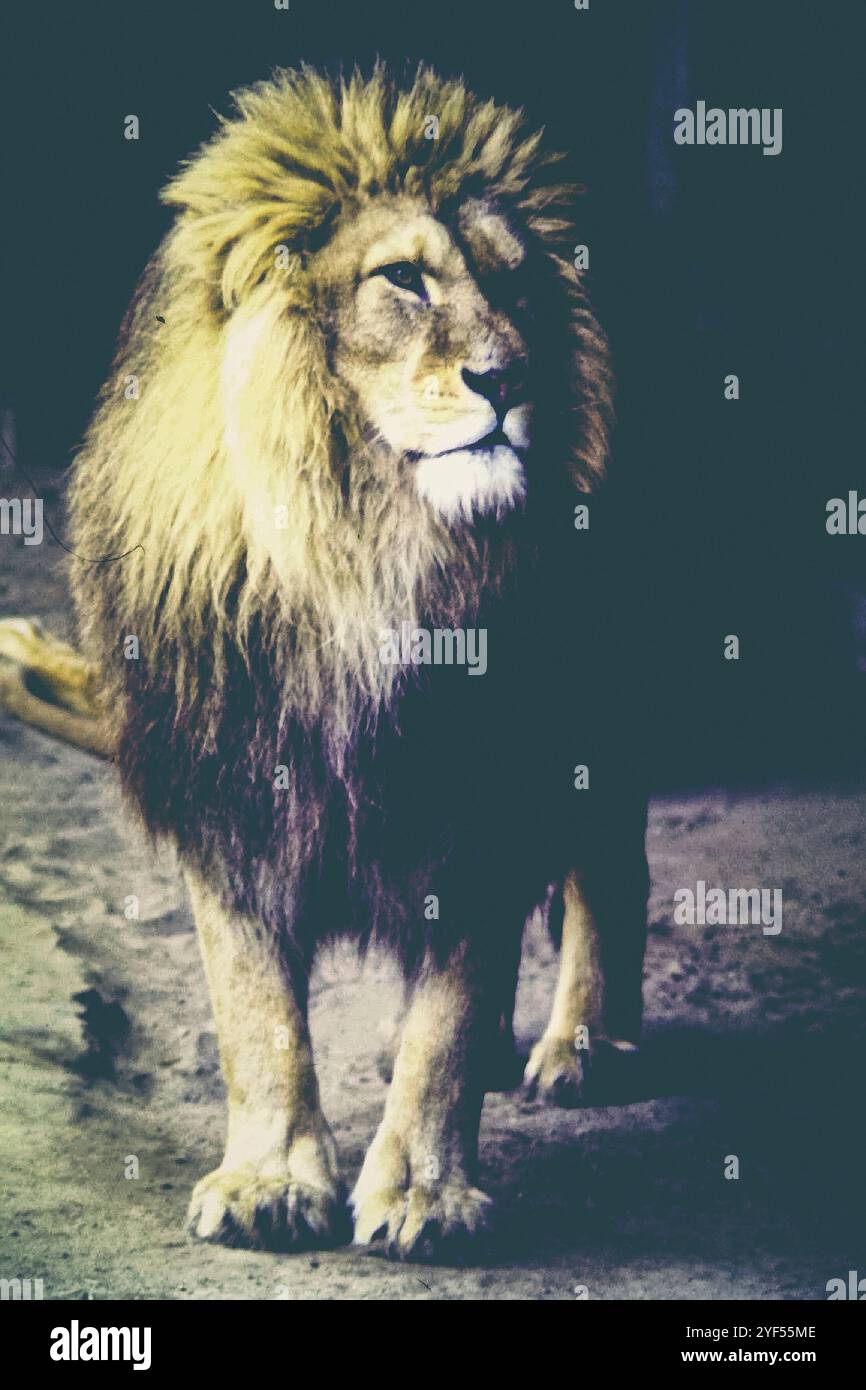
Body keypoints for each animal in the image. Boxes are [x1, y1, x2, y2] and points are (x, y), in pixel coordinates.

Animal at [0, 65, 649, 1260]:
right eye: (403, 279)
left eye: (517, 285)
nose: (512, 377)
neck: (364, 561)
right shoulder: (228, 780)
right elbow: (254, 1009)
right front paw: (270, 1180)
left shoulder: (489, 781)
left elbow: (445, 1017)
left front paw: (425, 1194)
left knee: (607, 862)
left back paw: (584, 1045)